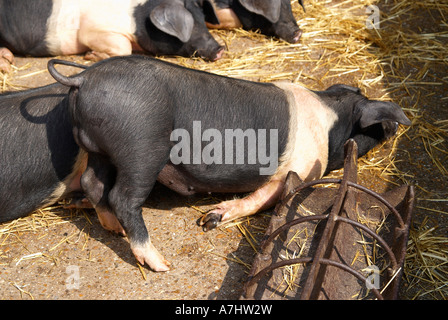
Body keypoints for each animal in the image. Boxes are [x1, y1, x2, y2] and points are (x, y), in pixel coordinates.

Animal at [0, 0, 224, 72]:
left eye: (202, 19)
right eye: (191, 25)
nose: (220, 49)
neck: (138, 18)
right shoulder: (93, 30)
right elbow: (123, 48)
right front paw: (90, 55)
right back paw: (7, 63)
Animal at [47, 56, 412, 272]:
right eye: (378, 124)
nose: (395, 127)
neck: (332, 123)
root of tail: (83, 81)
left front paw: (207, 220)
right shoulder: (302, 166)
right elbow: (263, 197)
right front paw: (208, 221)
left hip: (99, 150)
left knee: (94, 184)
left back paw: (109, 226)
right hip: (142, 150)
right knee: (123, 198)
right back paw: (160, 263)